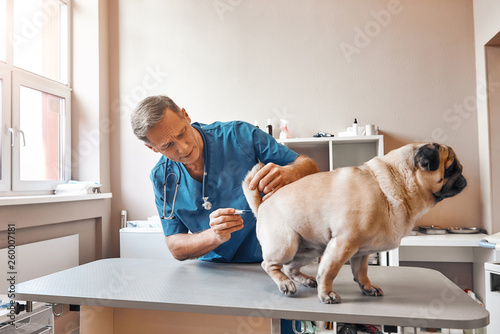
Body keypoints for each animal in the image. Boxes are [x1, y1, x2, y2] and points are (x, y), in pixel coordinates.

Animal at [242, 142, 468, 304]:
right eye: (451, 168)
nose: (464, 178)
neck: (391, 184)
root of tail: (262, 204)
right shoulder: (343, 243)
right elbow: (329, 272)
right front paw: (327, 294)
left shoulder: (361, 251)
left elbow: (361, 272)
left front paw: (367, 287)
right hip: (286, 245)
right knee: (269, 265)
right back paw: (285, 284)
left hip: (308, 250)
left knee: (290, 268)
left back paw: (303, 279)